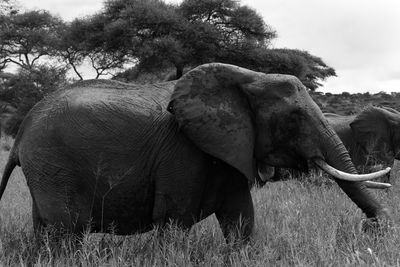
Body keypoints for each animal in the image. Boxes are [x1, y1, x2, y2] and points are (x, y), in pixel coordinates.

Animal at [0, 63, 392, 241]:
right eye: (294, 118)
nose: (371, 227)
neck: (249, 77)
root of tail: (22, 132)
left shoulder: (232, 147)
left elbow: (241, 220)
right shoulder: (181, 151)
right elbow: (172, 221)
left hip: (46, 169)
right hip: (54, 163)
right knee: (66, 233)